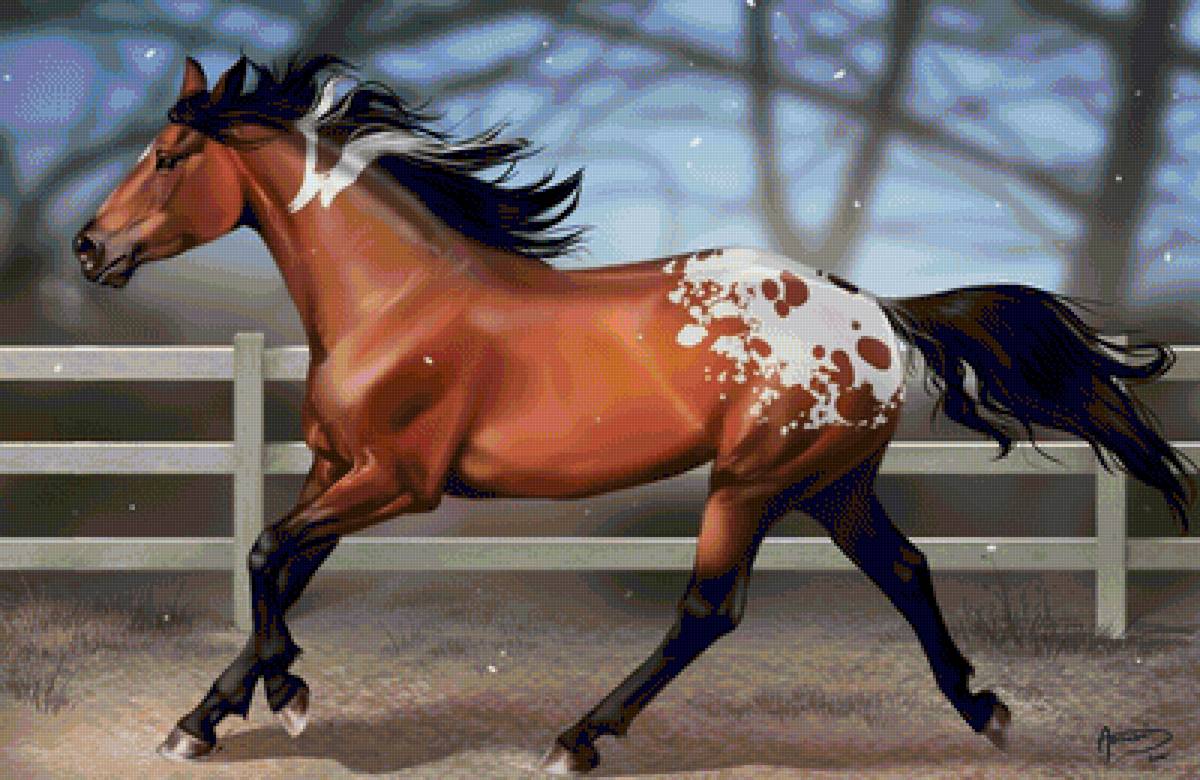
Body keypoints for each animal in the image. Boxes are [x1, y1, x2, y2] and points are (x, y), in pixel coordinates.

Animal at [75, 54, 1194, 774]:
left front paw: (289, 699)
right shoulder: (330, 468)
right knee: (907, 570)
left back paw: (580, 738)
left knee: (710, 609)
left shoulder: (396, 481)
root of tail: (876, 309)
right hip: (832, 483)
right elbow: (282, 567)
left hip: (753, 480)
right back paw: (987, 711)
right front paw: (204, 719)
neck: (396, 301)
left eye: (168, 158)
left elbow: (267, 555)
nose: (90, 248)